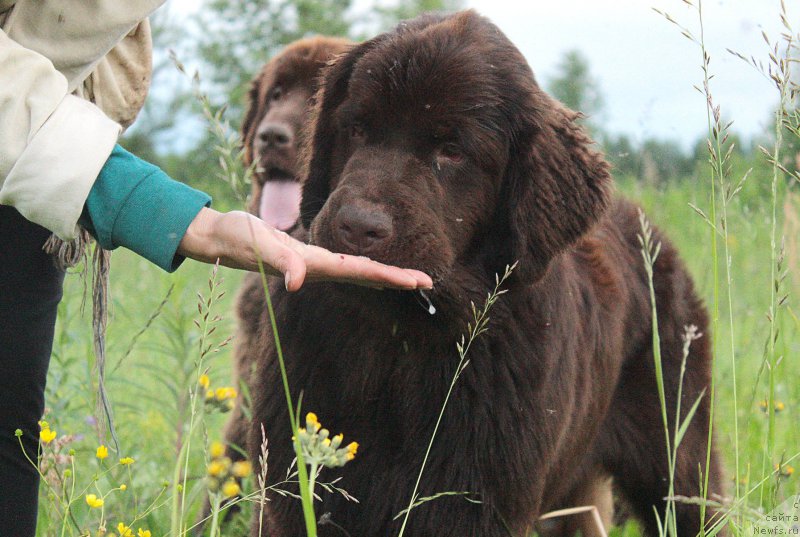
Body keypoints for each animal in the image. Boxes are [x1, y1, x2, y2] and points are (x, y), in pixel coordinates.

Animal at [244, 9, 724, 536]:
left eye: (452, 151)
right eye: (357, 129)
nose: (357, 227)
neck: (401, 339)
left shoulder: (476, 499)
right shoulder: (291, 486)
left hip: (678, 459)